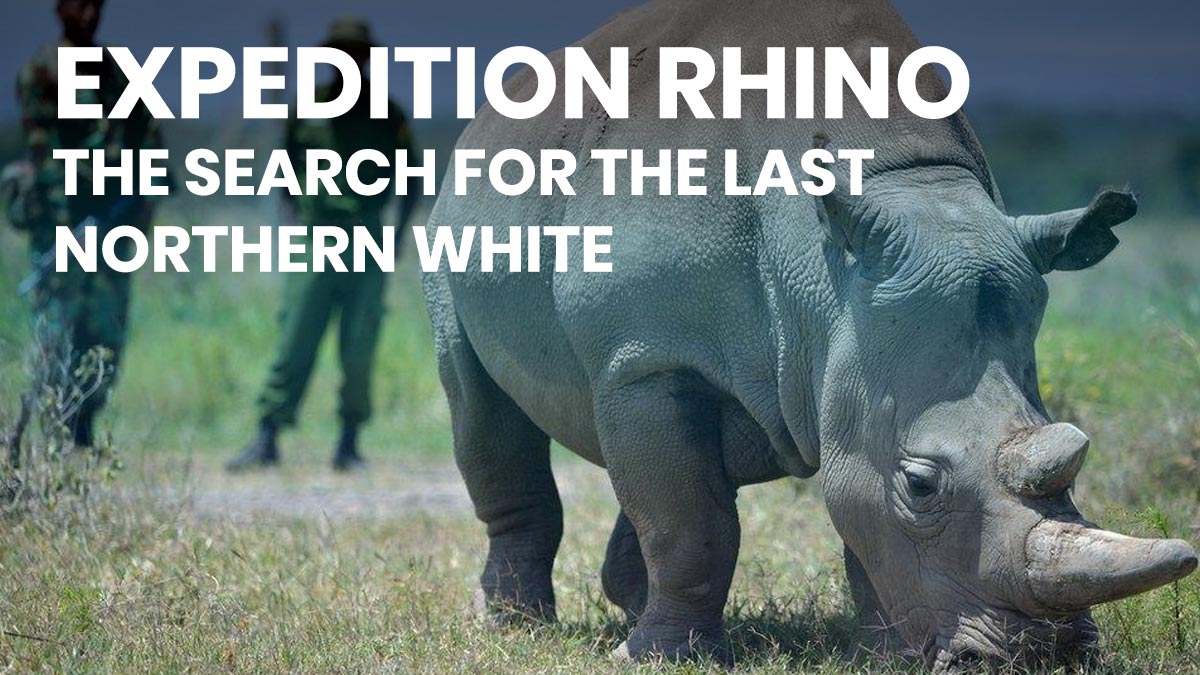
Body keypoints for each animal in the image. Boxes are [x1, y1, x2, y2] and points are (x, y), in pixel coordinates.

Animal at [420, 0, 1198, 670]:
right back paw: (513, 626)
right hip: (451, 215)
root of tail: (490, 113)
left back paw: (627, 606)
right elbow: (690, 522)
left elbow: (837, 503)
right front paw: (659, 660)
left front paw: (883, 657)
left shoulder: (841, 342)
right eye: (920, 484)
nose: (1043, 657)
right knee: (480, 407)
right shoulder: (648, 358)